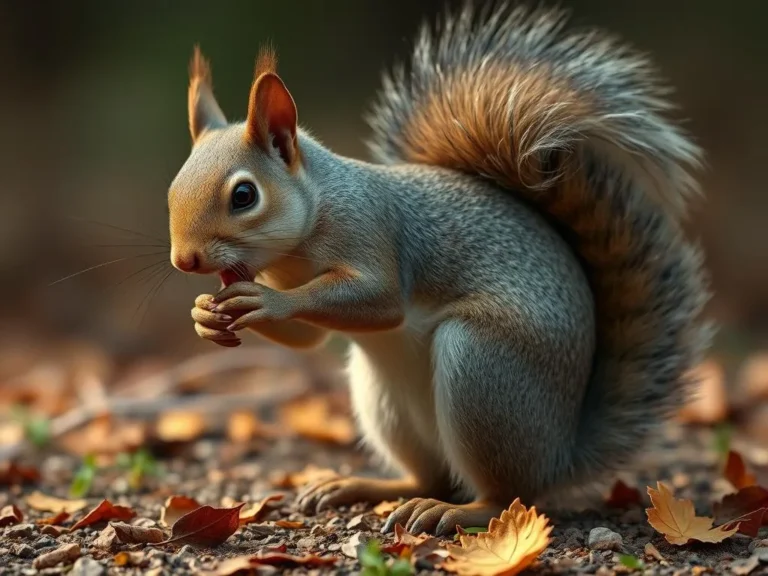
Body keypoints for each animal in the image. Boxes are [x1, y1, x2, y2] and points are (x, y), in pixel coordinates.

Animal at [168, 4, 711, 535]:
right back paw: (362, 487)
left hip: (483, 372)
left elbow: (381, 300)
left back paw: (459, 512)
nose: (184, 261)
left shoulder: (372, 231)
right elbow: (309, 339)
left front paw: (267, 301)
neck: (300, 240)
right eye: (172, 189)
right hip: (383, 399)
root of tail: (561, 455)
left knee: (511, 497)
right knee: (430, 477)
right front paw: (202, 313)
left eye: (244, 195)